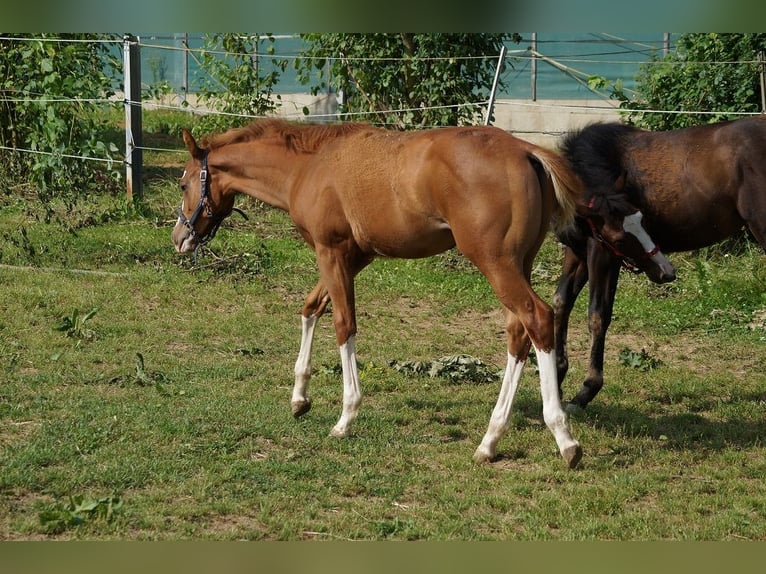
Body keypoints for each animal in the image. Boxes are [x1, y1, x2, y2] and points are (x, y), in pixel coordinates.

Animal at [171, 119, 584, 470]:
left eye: (183, 183)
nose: (179, 238)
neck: (310, 166)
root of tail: (527, 151)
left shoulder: (331, 251)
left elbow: (343, 324)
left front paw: (345, 417)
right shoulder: (354, 256)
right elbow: (311, 307)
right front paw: (299, 398)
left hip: (495, 262)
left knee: (537, 319)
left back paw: (564, 438)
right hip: (518, 263)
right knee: (518, 334)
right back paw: (490, 441)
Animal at [556, 117, 766, 410]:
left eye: (641, 220)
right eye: (625, 232)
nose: (667, 272)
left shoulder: (603, 253)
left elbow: (598, 315)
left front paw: (586, 391)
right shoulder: (577, 250)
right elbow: (561, 301)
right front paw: (557, 376)